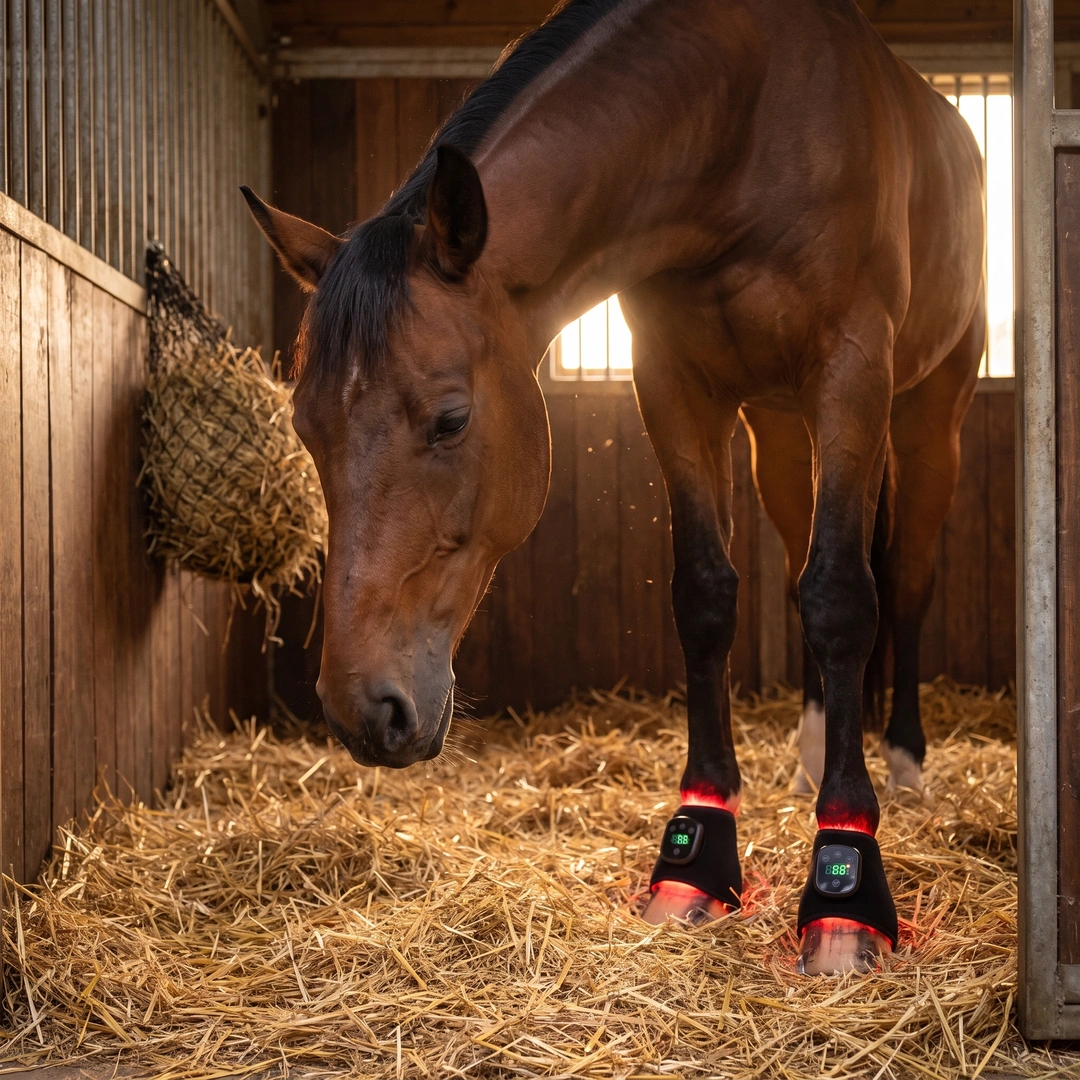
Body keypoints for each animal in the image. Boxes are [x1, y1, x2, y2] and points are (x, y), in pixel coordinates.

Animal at [243, 0, 984, 975]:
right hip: (782, 430)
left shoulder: (851, 370)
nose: (363, 708)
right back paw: (814, 748)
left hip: (925, 407)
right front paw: (696, 860)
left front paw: (846, 884)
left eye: (450, 420)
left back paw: (902, 760)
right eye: (304, 429)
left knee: (896, 581)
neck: (742, 119)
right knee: (803, 566)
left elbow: (842, 601)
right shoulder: (672, 384)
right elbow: (706, 597)